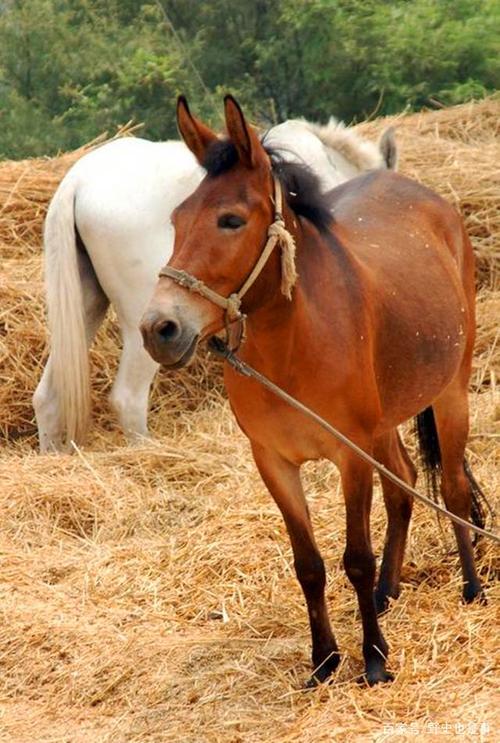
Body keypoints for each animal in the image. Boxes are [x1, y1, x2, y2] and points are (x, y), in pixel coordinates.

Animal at [140, 95, 487, 687]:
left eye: (231, 220)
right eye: (177, 220)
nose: (160, 328)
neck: (293, 346)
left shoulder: (350, 456)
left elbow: (355, 557)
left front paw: (373, 659)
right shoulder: (274, 461)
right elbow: (309, 565)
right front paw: (324, 659)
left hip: (450, 395)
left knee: (454, 488)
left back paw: (471, 587)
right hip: (385, 423)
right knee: (405, 485)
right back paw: (388, 591)